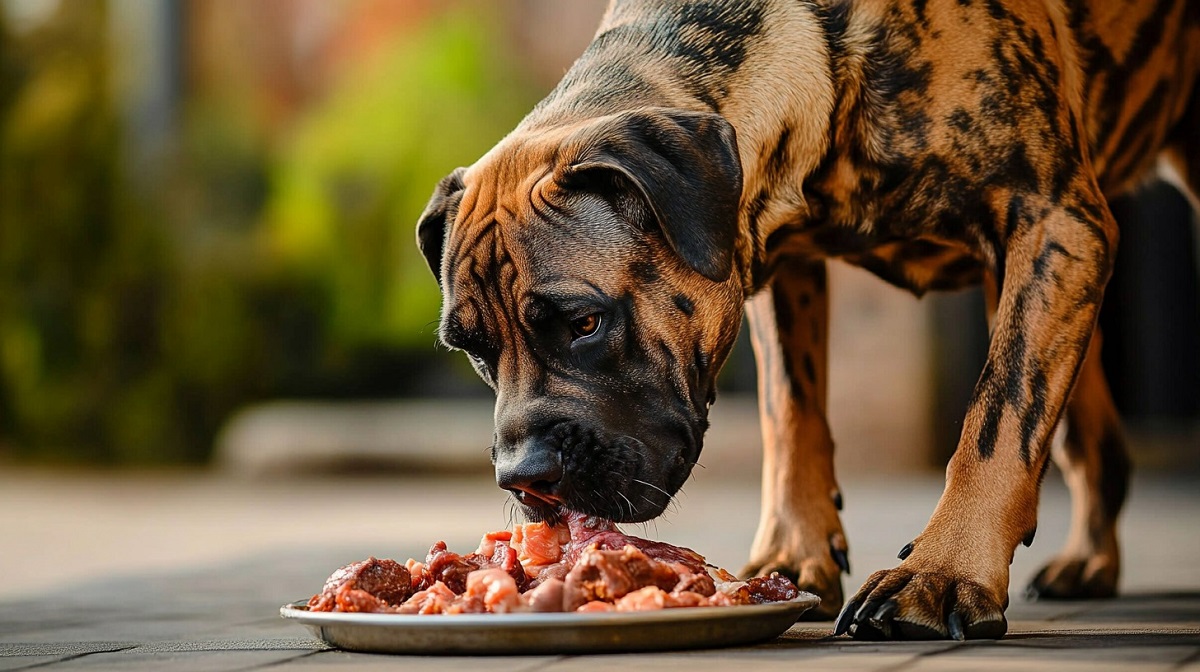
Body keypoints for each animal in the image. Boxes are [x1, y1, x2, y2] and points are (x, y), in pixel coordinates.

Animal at [415, 0, 1200, 638]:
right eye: (473, 351)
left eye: (585, 322)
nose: (524, 479)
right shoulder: (772, 258)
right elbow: (789, 413)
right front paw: (796, 553)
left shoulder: (1051, 221)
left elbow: (997, 419)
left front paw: (945, 573)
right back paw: (1089, 559)